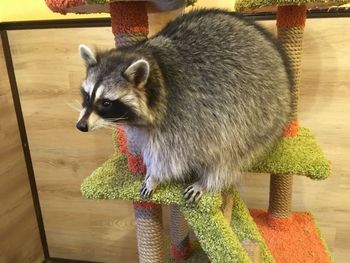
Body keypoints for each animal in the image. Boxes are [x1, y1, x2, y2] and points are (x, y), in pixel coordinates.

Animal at [76, 8, 292, 204]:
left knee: (231, 151)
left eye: (106, 103)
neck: (156, 70)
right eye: (86, 96)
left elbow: (171, 157)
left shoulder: (182, 114)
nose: (81, 126)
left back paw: (209, 180)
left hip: (259, 113)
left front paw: (155, 176)